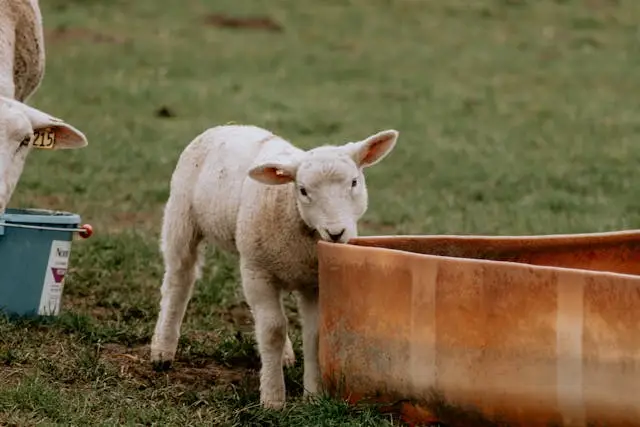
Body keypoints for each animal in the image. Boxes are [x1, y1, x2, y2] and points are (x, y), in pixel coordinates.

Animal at [150, 124, 399, 408]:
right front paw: (272, 399)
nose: (336, 233)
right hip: (182, 218)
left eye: (354, 182)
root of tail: (229, 125)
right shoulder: (258, 273)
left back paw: (285, 357)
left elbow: (313, 334)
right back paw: (162, 349)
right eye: (303, 190)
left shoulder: (313, 281)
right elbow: (272, 331)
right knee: (179, 280)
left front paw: (313, 396)